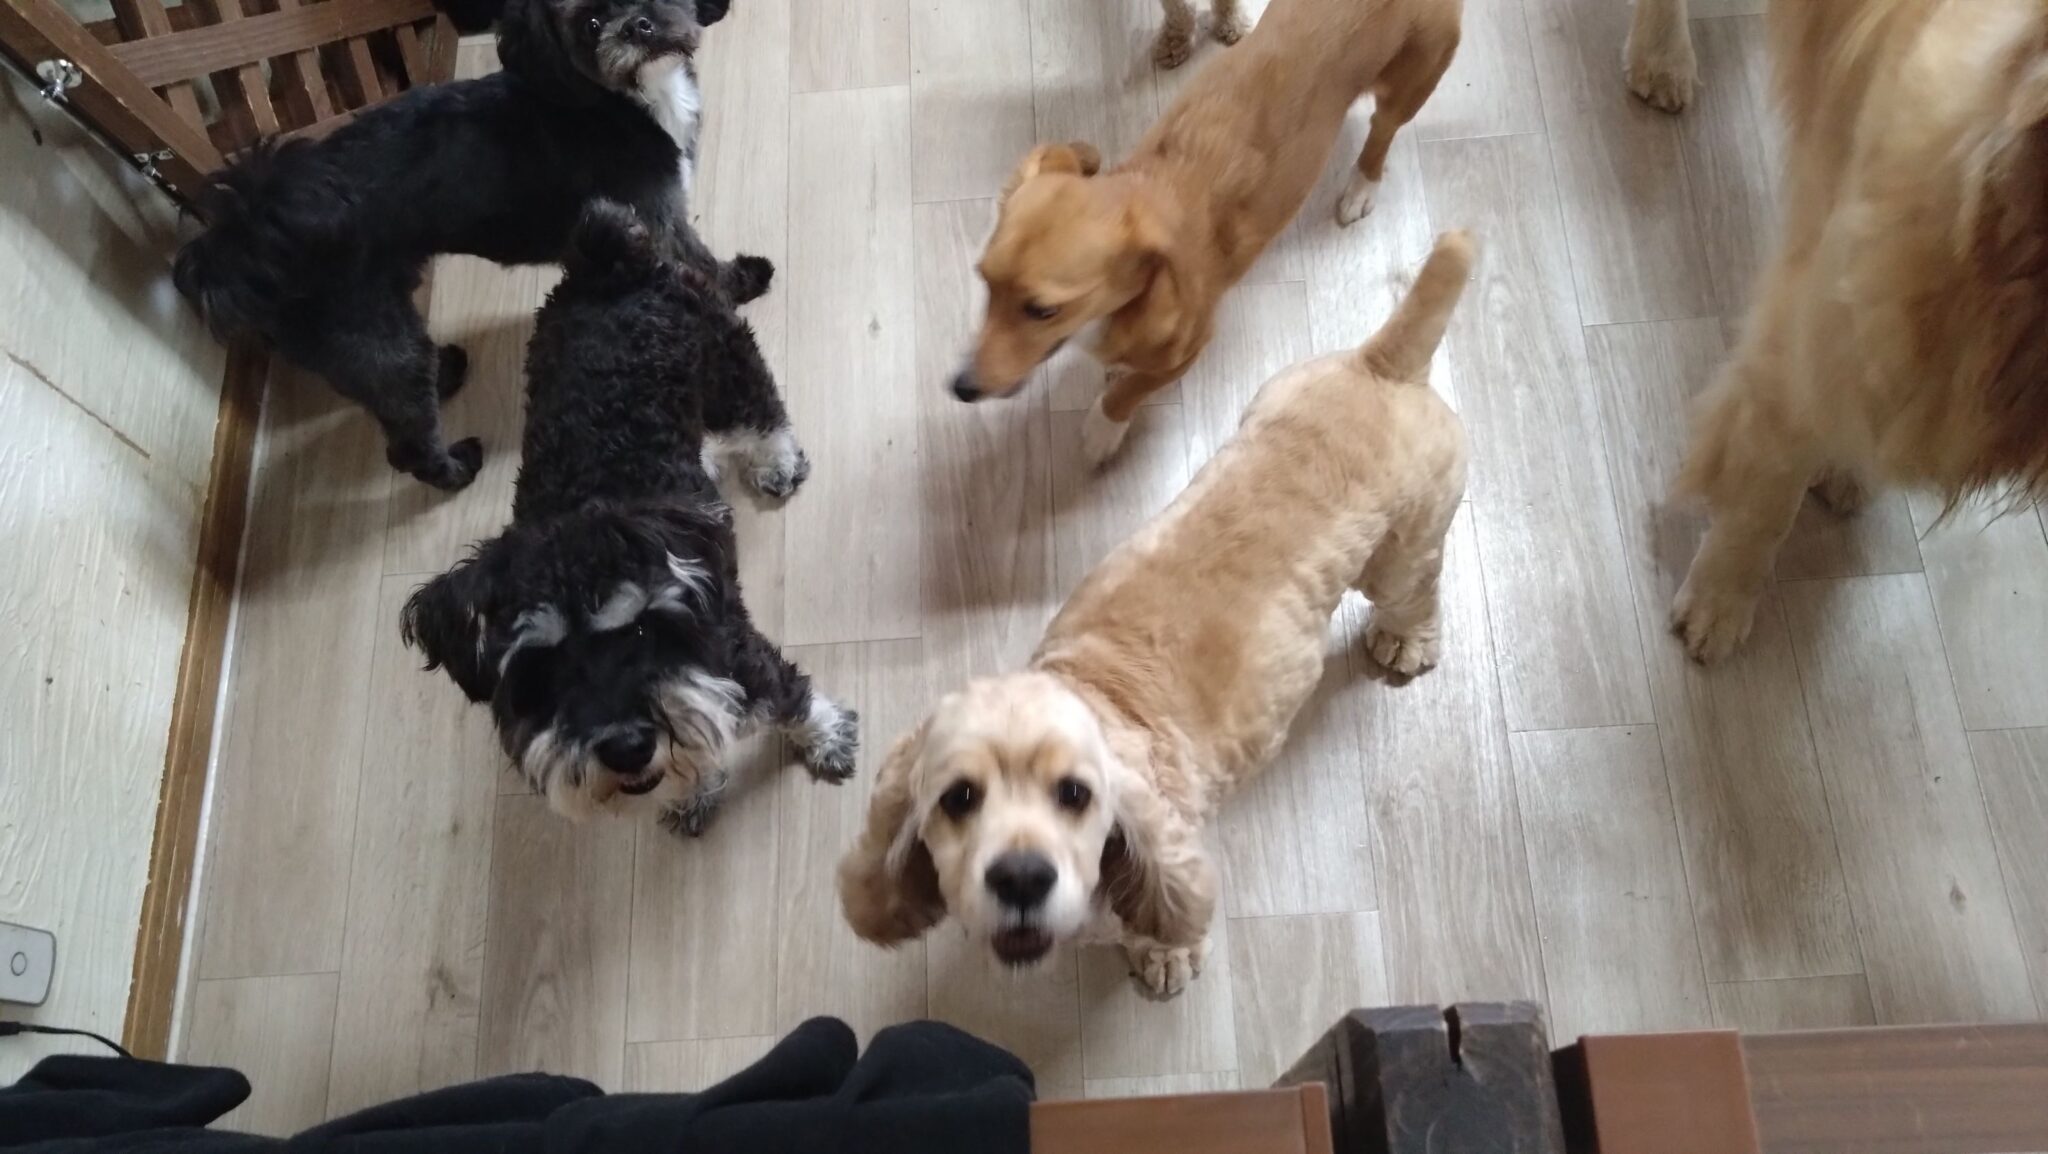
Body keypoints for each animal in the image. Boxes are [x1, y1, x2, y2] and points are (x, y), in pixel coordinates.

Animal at [173, 0, 765, 491]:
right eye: (591, 22)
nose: (638, 26)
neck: (624, 95)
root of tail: (249, 243)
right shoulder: (655, 215)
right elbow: (697, 260)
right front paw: (733, 293)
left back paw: (446, 372)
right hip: (369, 334)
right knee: (407, 442)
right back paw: (455, 469)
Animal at [400, 202, 855, 835]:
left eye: (640, 629)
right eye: (541, 662)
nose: (626, 748)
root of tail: (607, 257)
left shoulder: (744, 660)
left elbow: (791, 698)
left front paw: (828, 738)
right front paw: (691, 794)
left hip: (725, 362)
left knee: (760, 412)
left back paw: (777, 462)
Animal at [841, 233, 1473, 996]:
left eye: (1075, 795)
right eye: (958, 799)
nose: (1020, 877)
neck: (1096, 692)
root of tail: (1383, 364)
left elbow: (1160, 917)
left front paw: (1164, 957)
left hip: (1402, 550)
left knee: (1417, 589)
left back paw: (1405, 641)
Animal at [949, 0, 1461, 466]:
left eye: (1043, 310)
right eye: (984, 282)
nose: (961, 389)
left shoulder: (1188, 351)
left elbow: (1132, 388)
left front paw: (1103, 427)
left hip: (1410, 82)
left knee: (1382, 130)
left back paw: (1361, 186)